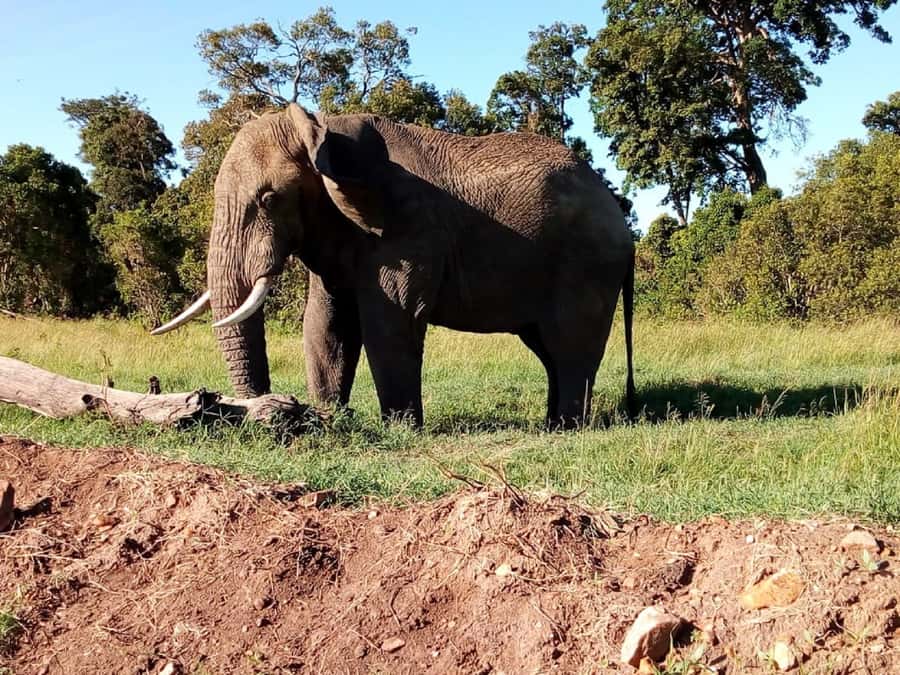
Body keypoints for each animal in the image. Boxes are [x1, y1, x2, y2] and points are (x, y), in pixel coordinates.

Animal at [153, 104, 635, 429]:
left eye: (270, 199)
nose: (264, 413)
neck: (322, 128)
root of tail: (622, 219)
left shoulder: (408, 228)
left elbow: (389, 323)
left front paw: (400, 430)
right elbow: (325, 325)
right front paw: (332, 420)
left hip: (587, 266)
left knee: (570, 347)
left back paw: (566, 428)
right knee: (547, 348)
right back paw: (551, 424)